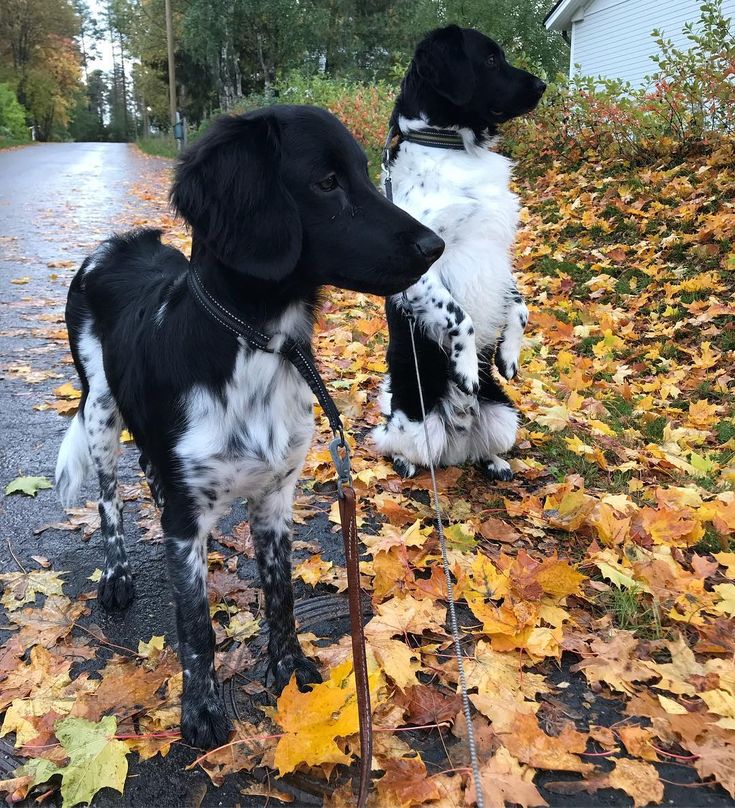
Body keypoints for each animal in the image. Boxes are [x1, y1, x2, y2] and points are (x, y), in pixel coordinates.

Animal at [54, 104, 442, 748]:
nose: (435, 246)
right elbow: (195, 625)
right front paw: (201, 709)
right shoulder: (187, 515)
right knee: (109, 496)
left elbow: (279, 595)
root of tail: (117, 244)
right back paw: (117, 574)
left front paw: (290, 671)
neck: (257, 344)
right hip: (100, 407)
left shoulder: (275, 496)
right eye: (326, 183)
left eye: (365, 173)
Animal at [374, 25, 548, 480]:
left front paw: (507, 356)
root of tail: (456, 437)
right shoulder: (420, 267)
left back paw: (494, 462)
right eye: (489, 59)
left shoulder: (496, 253)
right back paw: (406, 460)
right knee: (392, 443)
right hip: (413, 423)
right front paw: (467, 369)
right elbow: (460, 317)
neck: (452, 149)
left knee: (477, 450)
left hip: (506, 416)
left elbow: (520, 306)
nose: (542, 85)